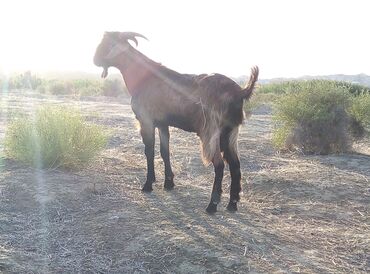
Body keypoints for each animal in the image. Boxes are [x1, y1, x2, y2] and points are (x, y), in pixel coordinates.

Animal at [94, 32, 258, 214]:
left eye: (109, 44)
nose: (95, 60)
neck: (143, 76)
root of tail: (240, 91)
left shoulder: (146, 120)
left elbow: (149, 151)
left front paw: (148, 184)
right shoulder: (162, 124)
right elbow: (164, 151)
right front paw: (169, 183)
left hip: (211, 131)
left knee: (220, 164)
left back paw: (212, 205)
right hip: (230, 132)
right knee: (235, 164)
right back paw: (232, 204)